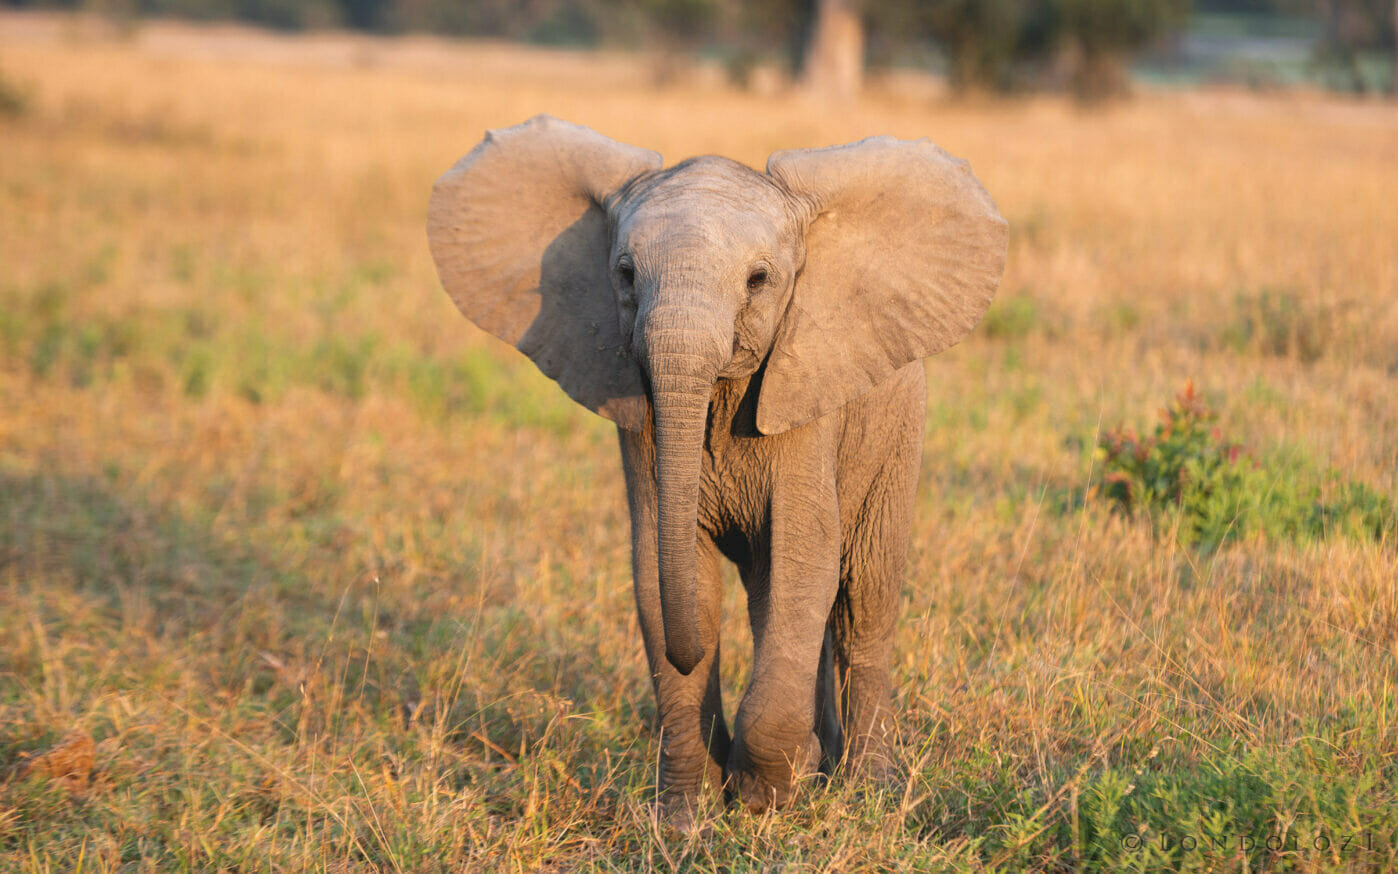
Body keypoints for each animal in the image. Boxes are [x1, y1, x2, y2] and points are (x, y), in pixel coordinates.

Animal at [426, 115, 1007, 822]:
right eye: (624, 274)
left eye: (759, 281)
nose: (722, 775)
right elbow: (664, 575)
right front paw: (687, 817)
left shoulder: (806, 404)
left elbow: (805, 562)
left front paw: (765, 795)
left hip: (898, 436)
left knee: (863, 600)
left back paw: (865, 792)